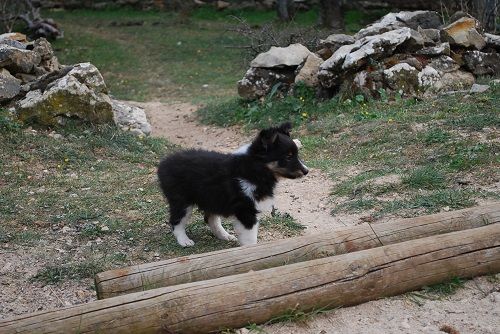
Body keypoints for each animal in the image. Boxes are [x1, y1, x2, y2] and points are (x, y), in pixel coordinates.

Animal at [157, 122, 308, 245]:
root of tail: (164, 163)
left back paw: (225, 236)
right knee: (176, 221)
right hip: (181, 200)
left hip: (212, 198)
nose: (307, 171)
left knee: (210, 219)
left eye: (296, 155)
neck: (256, 168)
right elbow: (250, 238)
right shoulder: (246, 210)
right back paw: (185, 241)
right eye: (288, 157)